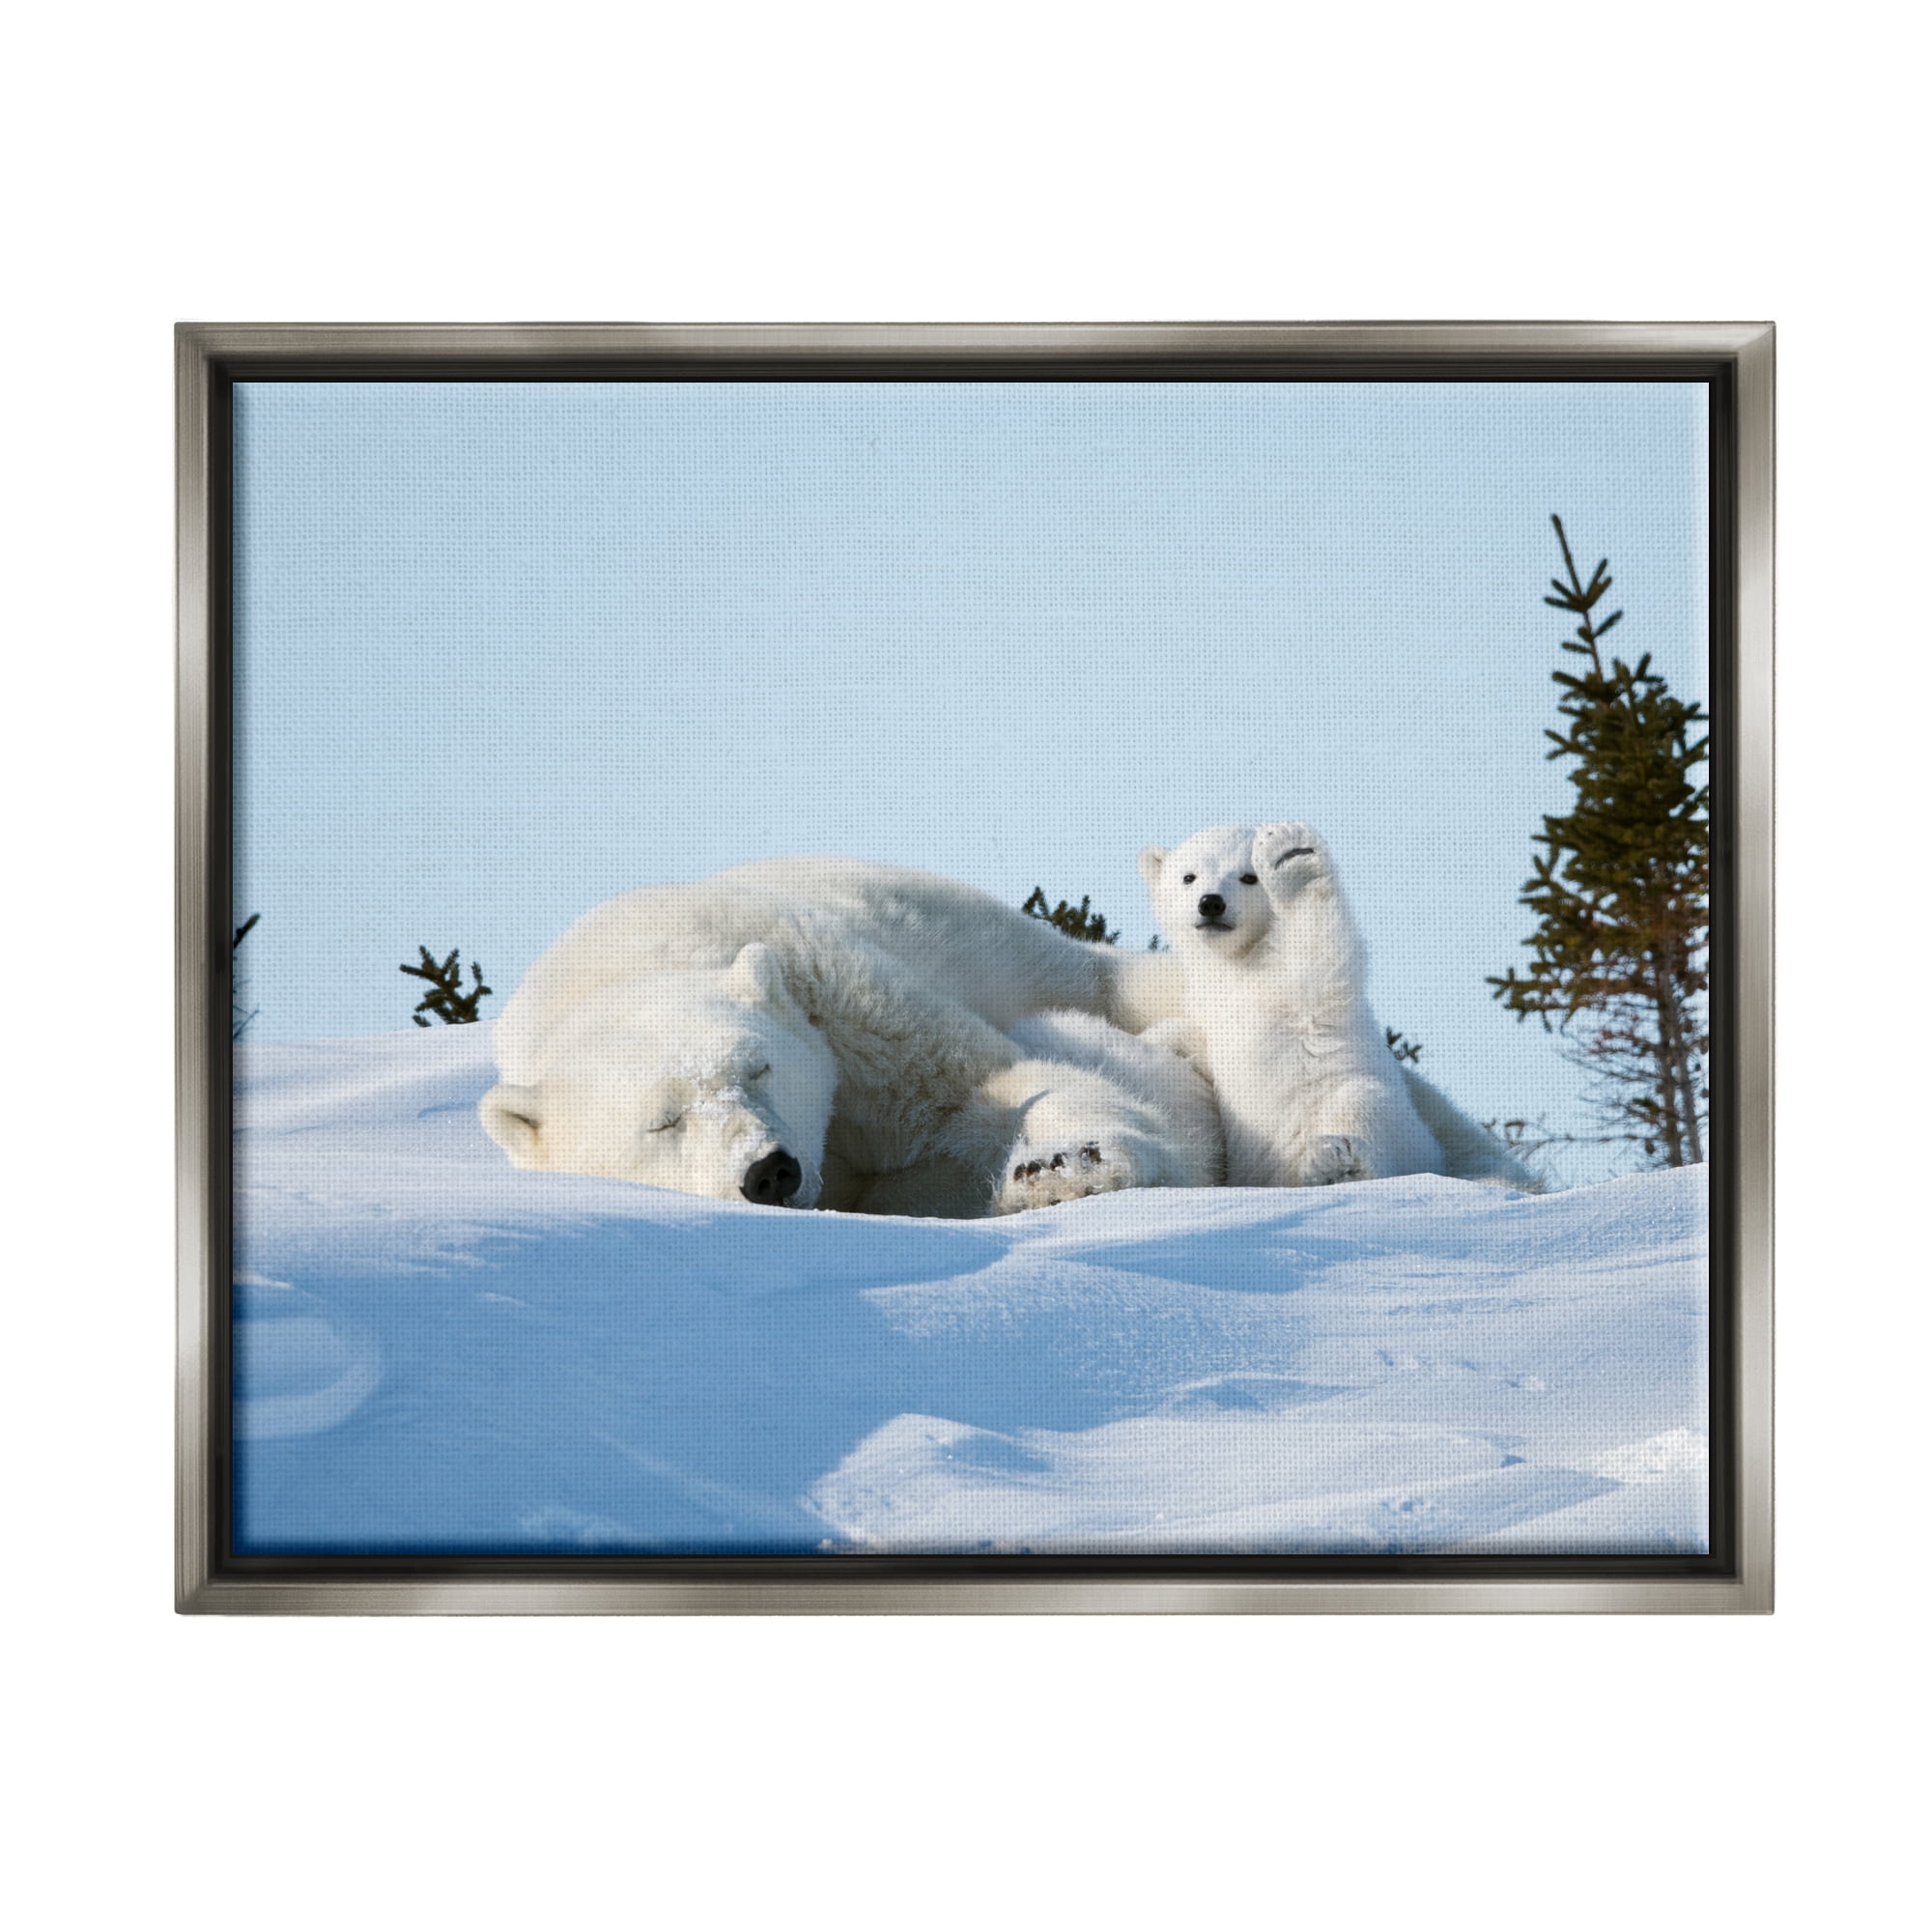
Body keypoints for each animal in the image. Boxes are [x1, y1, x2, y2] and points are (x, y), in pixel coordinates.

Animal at [479, 857, 1203, 1218]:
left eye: (759, 1068)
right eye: (662, 1123)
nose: (769, 1172)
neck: (626, 966)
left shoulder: (835, 996)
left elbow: (982, 1086)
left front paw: (1069, 1167)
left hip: (1020, 952)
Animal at [1139, 822, 1540, 1191]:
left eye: (1249, 877)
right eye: (1188, 876)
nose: (1211, 903)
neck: (1238, 961)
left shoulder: (1297, 986)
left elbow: (1317, 958)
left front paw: (1291, 856)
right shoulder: (1207, 1002)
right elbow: (1196, 1037)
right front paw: (1154, 1040)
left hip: (1383, 1118)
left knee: (1361, 1109)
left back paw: (1336, 1162)